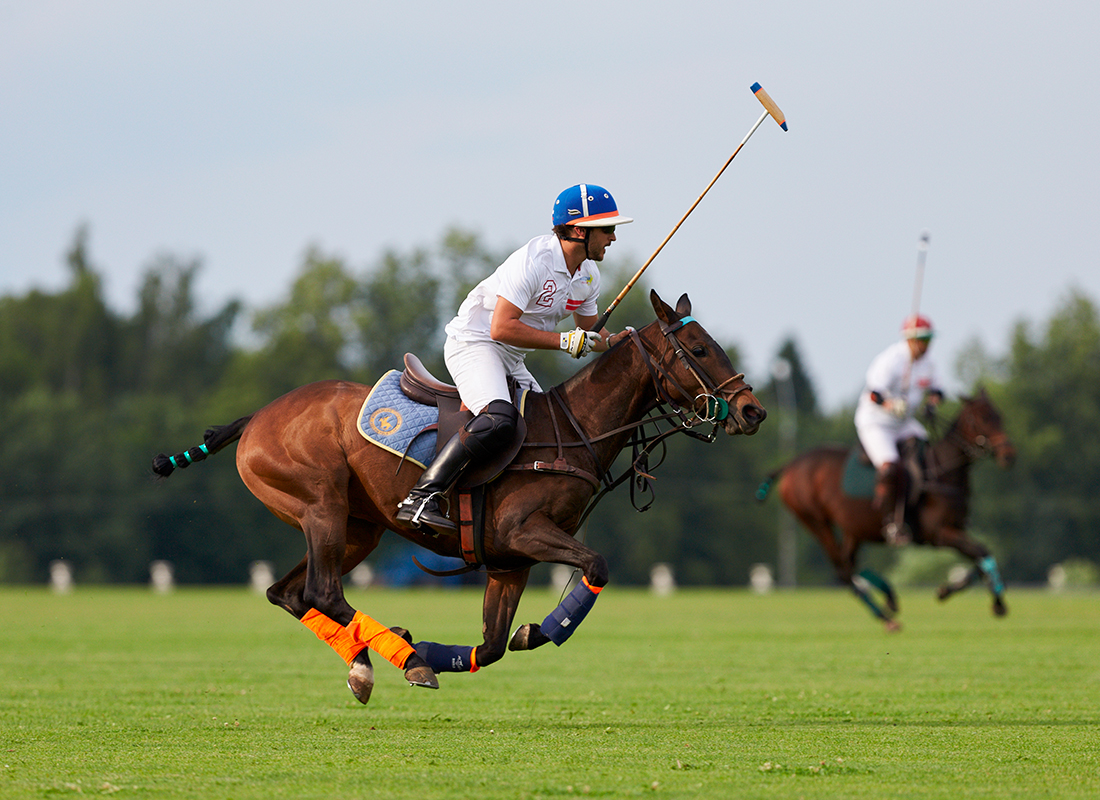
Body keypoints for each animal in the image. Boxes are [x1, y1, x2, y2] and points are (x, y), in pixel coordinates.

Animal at [150, 290, 765, 704]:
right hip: (321, 504)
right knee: (322, 591)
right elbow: (597, 564)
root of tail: (256, 418)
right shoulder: (523, 532)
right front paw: (540, 630)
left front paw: (519, 633)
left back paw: (369, 663)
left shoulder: (510, 562)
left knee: (289, 593)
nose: (753, 411)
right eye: (698, 348)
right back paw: (404, 654)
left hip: (355, 528)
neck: (569, 430)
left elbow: (492, 646)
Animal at [756, 389, 1012, 633]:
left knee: (848, 563)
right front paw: (998, 603)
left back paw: (889, 598)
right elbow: (981, 552)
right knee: (843, 569)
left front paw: (947, 592)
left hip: (852, 528)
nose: (1008, 454)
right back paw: (887, 618)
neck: (940, 471)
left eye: (999, 416)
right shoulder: (939, 533)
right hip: (815, 521)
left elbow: (981, 556)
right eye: (982, 418)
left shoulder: (956, 528)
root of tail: (790, 465)